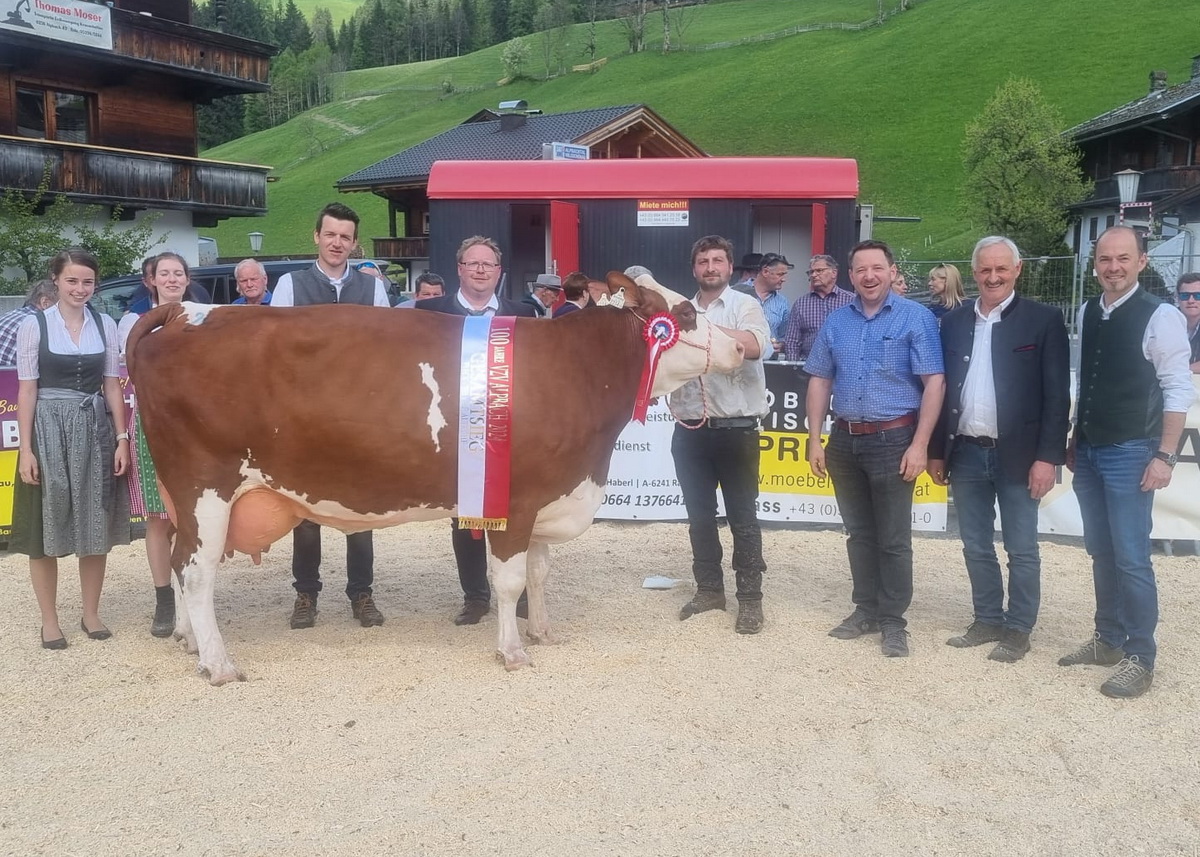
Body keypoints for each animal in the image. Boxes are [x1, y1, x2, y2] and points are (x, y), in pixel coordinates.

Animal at [121, 270, 739, 686]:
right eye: (685, 314)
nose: (741, 345)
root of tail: (186, 310)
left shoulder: (551, 495)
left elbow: (539, 573)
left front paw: (543, 631)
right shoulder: (516, 501)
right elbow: (509, 580)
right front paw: (513, 651)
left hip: (183, 496)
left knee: (177, 559)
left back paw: (188, 641)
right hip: (205, 486)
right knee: (196, 571)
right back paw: (218, 662)